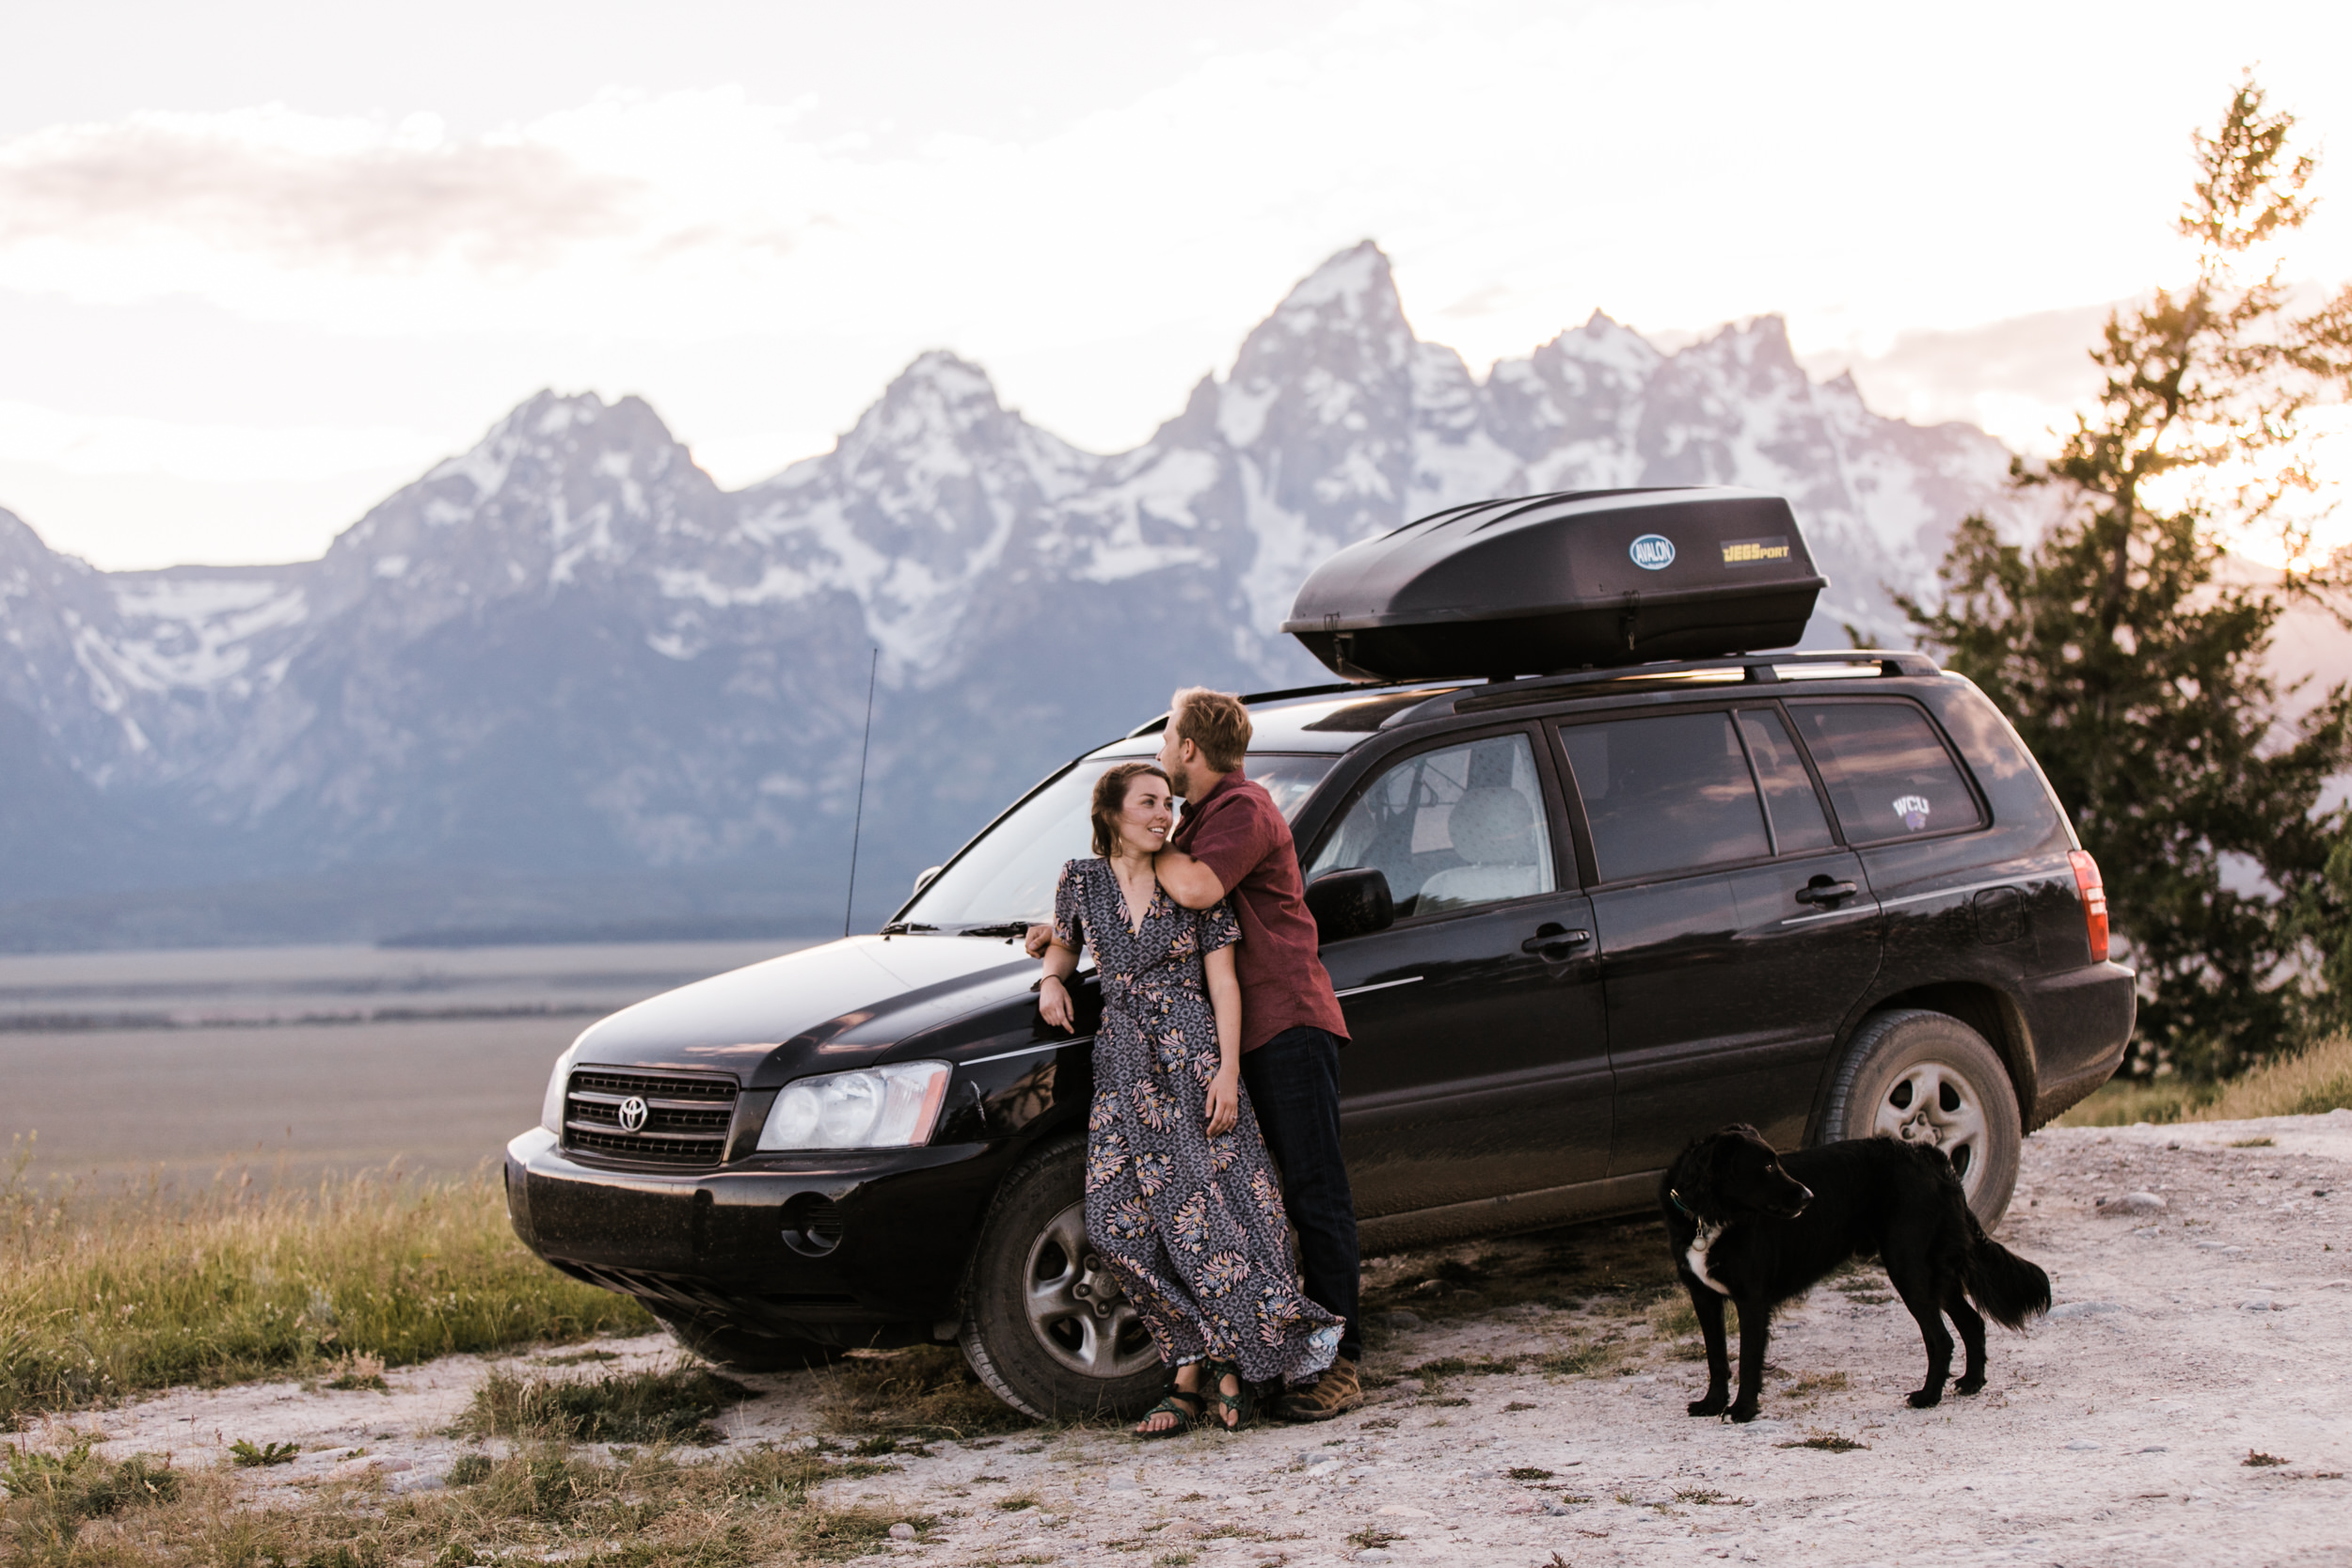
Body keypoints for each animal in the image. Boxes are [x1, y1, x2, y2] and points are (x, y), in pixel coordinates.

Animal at [1665, 1128, 2051, 1419]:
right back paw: (1972, 1382)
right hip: (1935, 1274)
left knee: (1941, 1339)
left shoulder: (1753, 1300)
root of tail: (1933, 1157)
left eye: (1776, 1161)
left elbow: (1747, 1359)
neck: (1709, 1216)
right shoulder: (1703, 1297)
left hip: (1909, 1268)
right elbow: (1716, 1357)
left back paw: (1928, 1396)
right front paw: (1712, 1404)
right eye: (1767, 1166)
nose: (1809, 1196)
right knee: (1972, 1323)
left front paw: (1743, 1410)